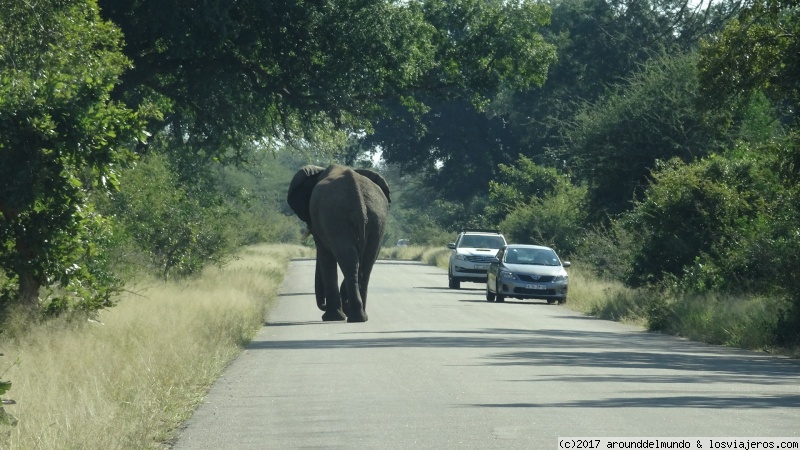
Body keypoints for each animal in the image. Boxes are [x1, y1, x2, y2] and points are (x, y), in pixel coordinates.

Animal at [288, 163, 390, 322]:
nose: (323, 305)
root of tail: (358, 197)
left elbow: (324, 255)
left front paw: (332, 317)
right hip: (376, 219)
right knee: (365, 262)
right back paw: (361, 316)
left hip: (336, 218)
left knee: (349, 259)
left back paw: (347, 316)